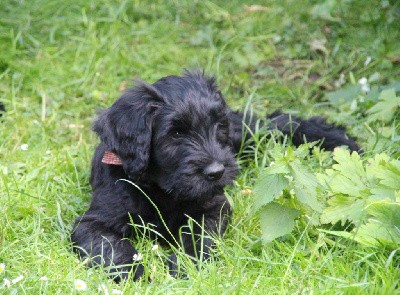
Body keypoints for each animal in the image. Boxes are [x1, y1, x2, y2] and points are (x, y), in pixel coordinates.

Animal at [71, 71, 360, 282]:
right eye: (176, 133)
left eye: (218, 126)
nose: (217, 172)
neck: (163, 190)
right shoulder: (93, 221)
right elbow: (111, 246)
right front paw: (133, 273)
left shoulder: (213, 207)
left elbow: (198, 238)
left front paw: (185, 266)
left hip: (246, 133)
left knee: (277, 122)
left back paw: (340, 142)